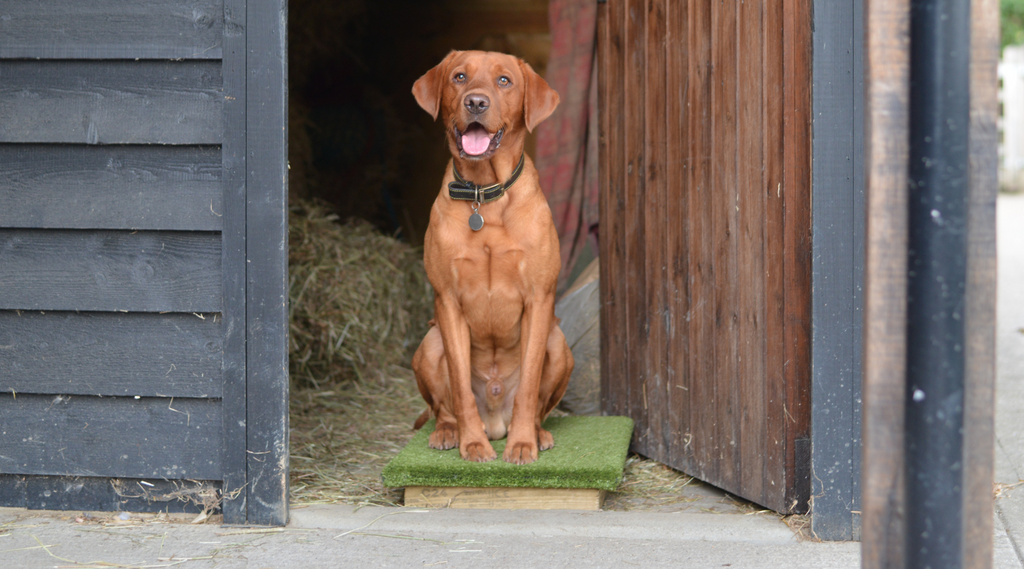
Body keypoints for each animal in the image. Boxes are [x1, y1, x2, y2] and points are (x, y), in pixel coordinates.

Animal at [407, 51, 573, 464]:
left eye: (504, 81)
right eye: (459, 77)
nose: (476, 103)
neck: (485, 194)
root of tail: (496, 418)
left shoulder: (539, 299)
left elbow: (529, 386)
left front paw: (523, 444)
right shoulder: (447, 301)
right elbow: (460, 388)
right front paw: (473, 444)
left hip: (558, 341)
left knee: (539, 405)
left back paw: (536, 432)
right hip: (430, 342)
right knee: (443, 407)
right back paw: (449, 432)